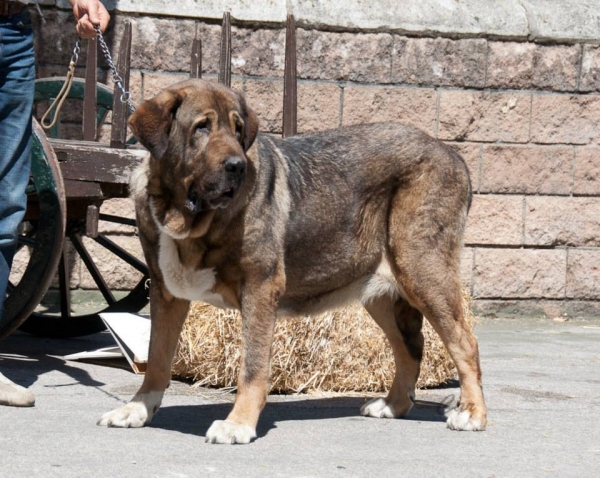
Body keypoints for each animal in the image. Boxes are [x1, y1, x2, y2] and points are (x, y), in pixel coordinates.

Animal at [96, 79, 486, 444]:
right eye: (201, 127)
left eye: (238, 129)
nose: (237, 166)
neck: (186, 217)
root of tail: (451, 152)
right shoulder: (166, 294)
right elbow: (158, 357)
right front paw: (139, 408)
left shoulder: (259, 288)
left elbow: (252, 366)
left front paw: (238, 424)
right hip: (382, 294)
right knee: (410, 347)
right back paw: (393, 405)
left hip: (423, 272)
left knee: (464, 343)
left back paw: (473, 414)